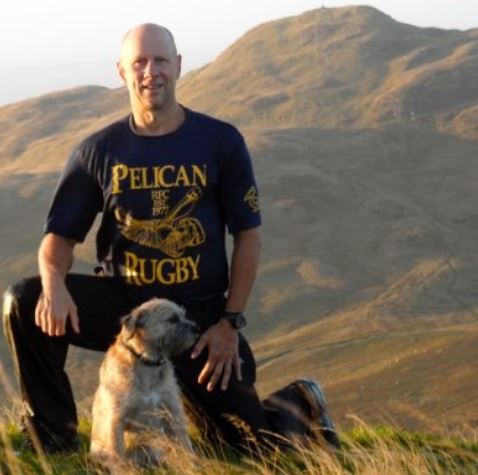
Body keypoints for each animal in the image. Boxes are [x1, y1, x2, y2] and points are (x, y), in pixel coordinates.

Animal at [90, 298, 197, 470]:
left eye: (183, 315)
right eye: (172, 319)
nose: (197, 329)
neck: (148, 363)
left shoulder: (173, 412)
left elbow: (185, 443)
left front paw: (193, 466)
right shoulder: (117, 418)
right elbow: (117, 452)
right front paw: (125, 472)